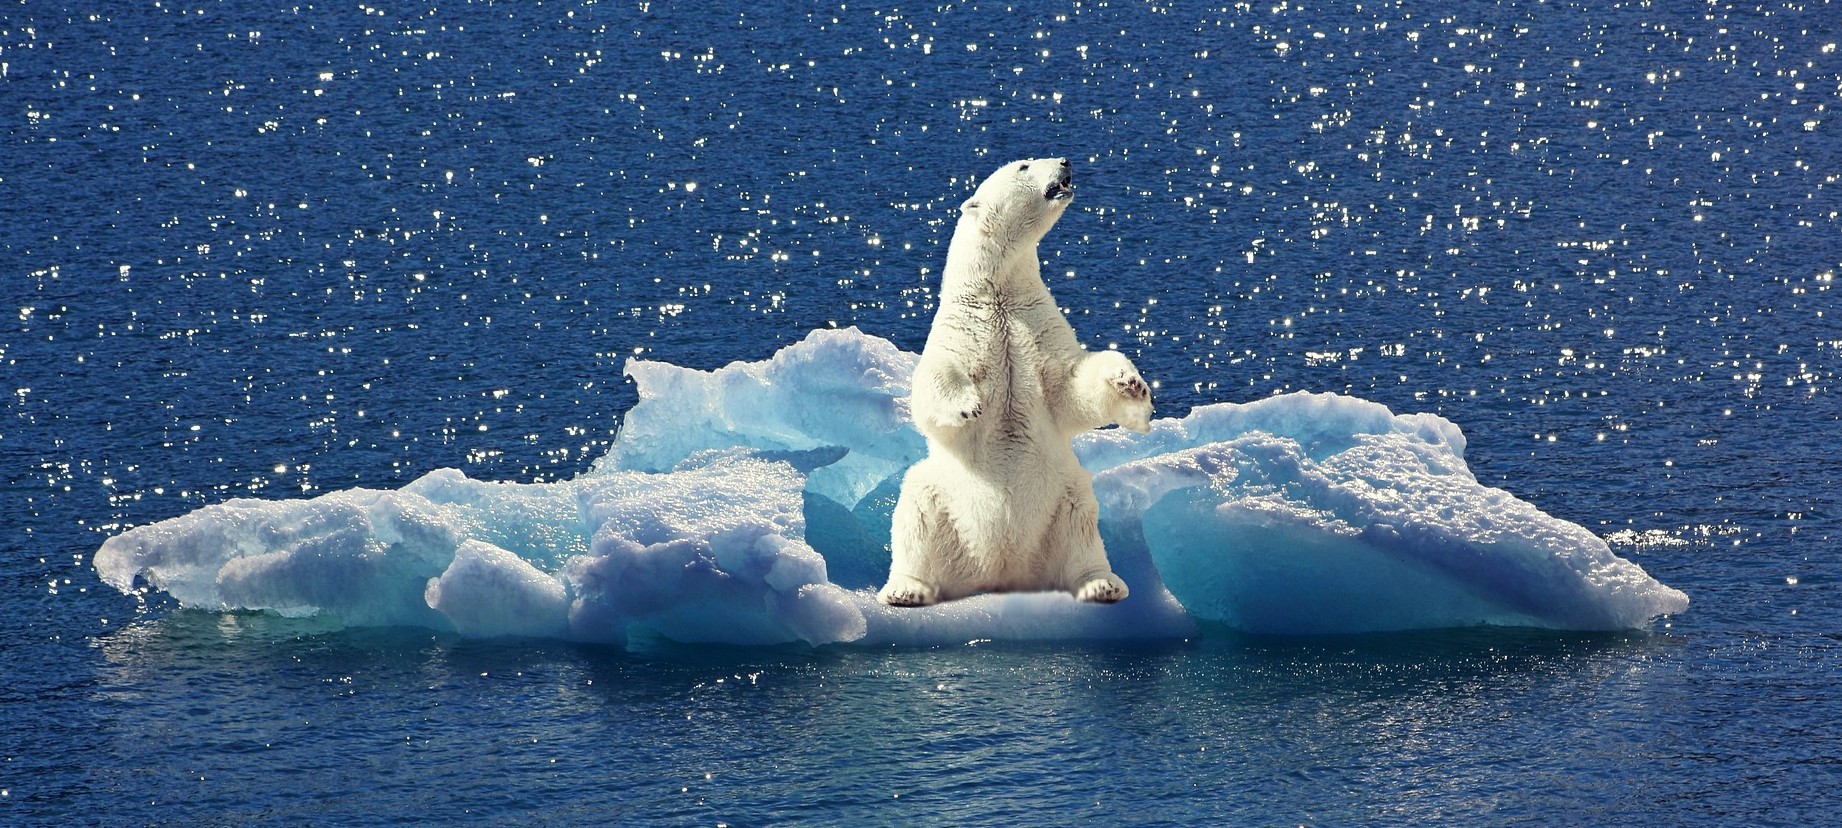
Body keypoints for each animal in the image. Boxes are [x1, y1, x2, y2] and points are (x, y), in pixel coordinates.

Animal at [876, 157, 1149, 607]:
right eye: (1024, 165)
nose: (1065, 161)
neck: (998, 293)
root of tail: (1001, 571)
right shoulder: (964, 329)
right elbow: (935, 380)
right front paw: (967, 404)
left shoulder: (1036, 325)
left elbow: (1069, 387)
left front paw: (1131, 384)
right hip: (942, 497)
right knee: (915, 510)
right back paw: (906, 589)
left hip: (1063, 496)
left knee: (1081, 524)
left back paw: (1101, 584)